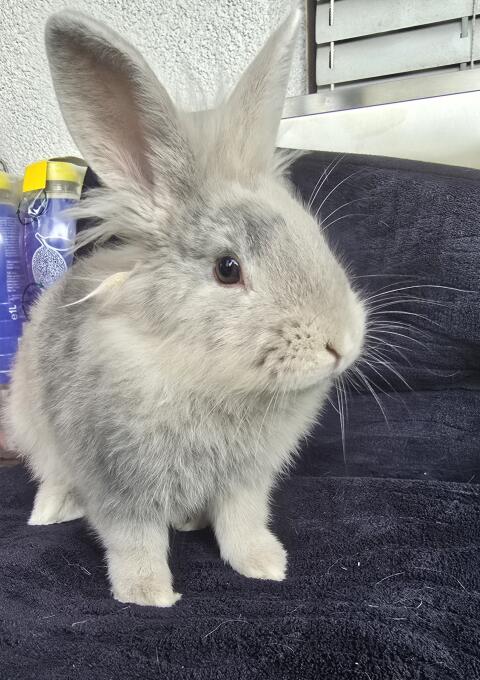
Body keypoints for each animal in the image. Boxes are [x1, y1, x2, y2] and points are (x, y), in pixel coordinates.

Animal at [5, 8, 366, 607]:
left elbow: (242, 523)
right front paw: (148, 595)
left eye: (312, 235)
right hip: (33, 429)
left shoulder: (246, 483)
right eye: (228, 268)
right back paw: (50, 512)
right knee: (52, 475)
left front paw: (266, 566)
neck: (199, 374)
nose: (341, 343)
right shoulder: (117, 485)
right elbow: (134, 542)